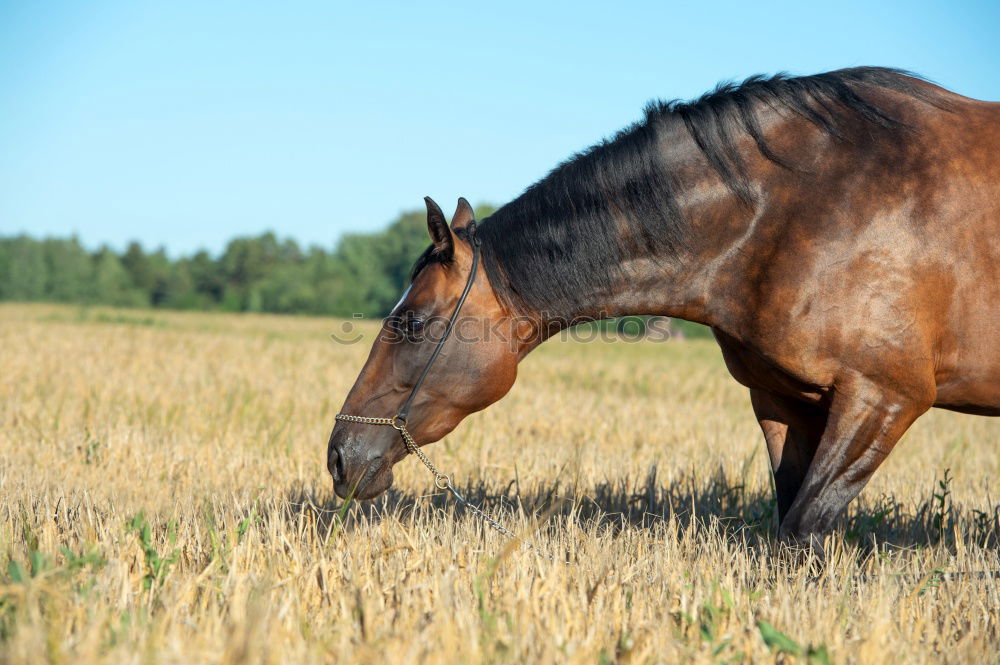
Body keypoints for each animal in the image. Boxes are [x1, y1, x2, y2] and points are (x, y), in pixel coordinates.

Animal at [326, 66, 992, 548]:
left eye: (412, 322)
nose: (338, 457)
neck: (803, 207)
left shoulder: (883, 398)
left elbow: (802, 530)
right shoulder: (787, 402)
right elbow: (788, 525)